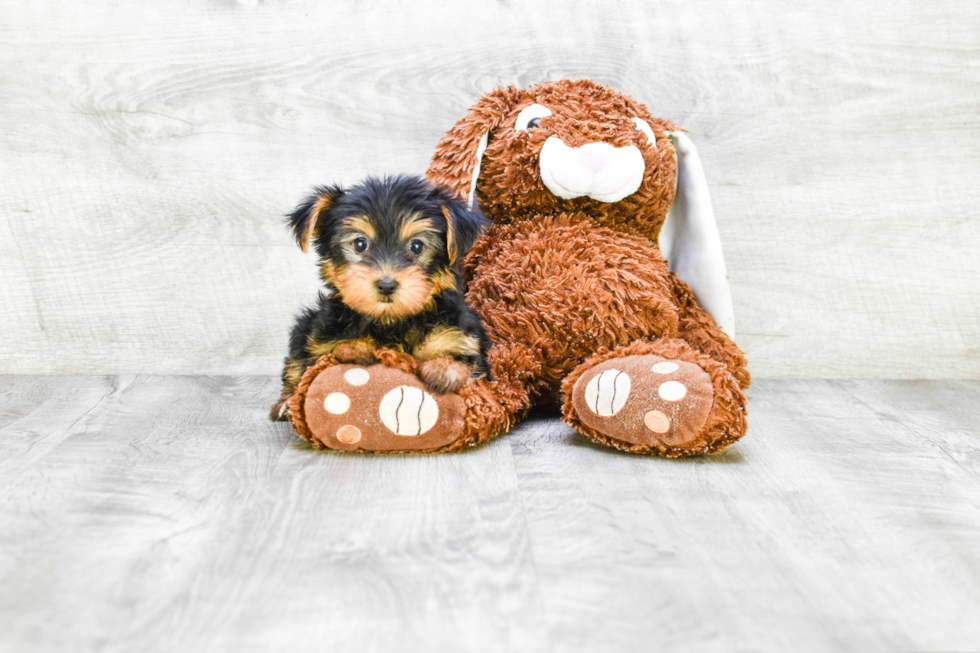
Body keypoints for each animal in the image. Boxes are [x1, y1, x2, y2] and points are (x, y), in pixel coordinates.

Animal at [270, 174, 490, 418]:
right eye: (360, 244)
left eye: (416, 246)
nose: (386, 285)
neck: (390, 320)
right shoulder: (321, 339)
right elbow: (321, 358)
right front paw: (356, 347)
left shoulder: (461, 334)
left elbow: (462, 356)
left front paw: (443, 369)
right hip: (305, 326)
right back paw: (286, 404)